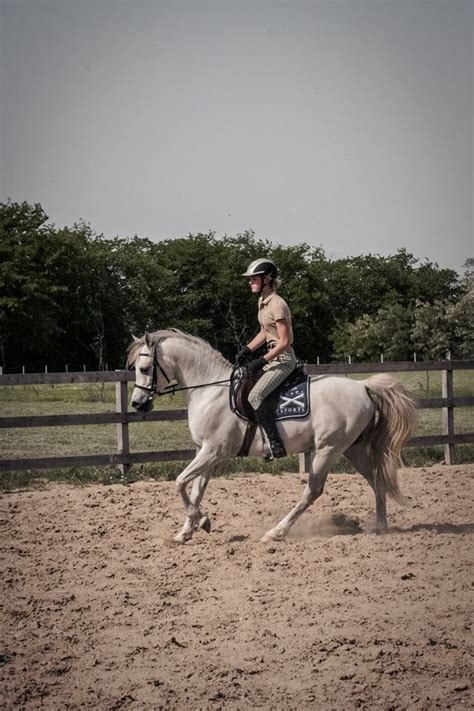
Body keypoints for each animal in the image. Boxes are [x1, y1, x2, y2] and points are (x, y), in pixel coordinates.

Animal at [128, 330, 416, 544]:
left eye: (145, 368)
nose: (137, 404)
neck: (210, 390)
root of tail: (361, 385)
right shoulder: (206, 453)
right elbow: (196, 490)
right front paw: (186, 531)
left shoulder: (212, 451)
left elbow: (179, 483)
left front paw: (202, 521)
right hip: (352, 448)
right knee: (376, 479)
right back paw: (380, 527)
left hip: (328, 449)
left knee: (312, 491)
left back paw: (276, 532)